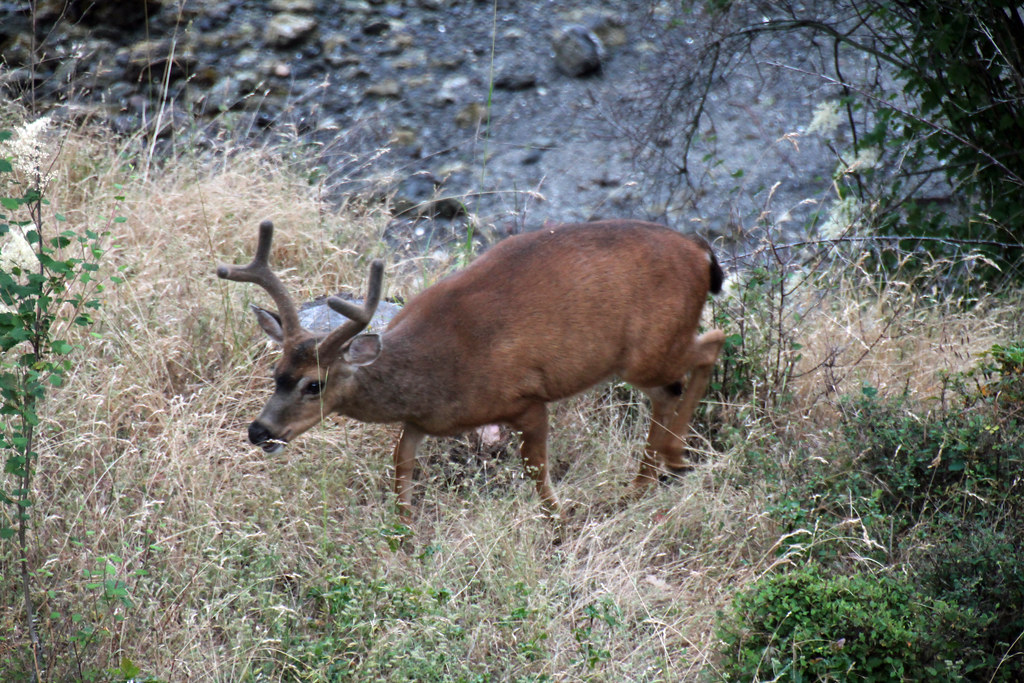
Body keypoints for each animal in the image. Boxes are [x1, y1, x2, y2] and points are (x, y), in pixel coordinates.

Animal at [217, 218, 725, 518]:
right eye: (276, 374)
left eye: (314, 385)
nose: (259, 431)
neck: (435, 372)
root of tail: (701, 251)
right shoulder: (423, 421)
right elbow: (400, 468)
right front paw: (404, 536)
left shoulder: (527, 399)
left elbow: (536, 474)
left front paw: (559, 526)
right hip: (644, 358)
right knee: (674, 384)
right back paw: (646, 480)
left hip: (651, 349)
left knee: (711, 346)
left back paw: (670, 462)